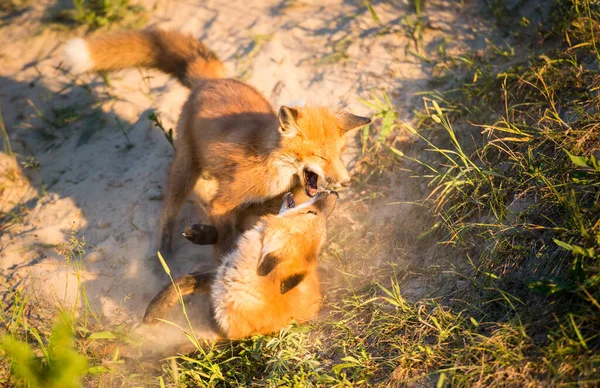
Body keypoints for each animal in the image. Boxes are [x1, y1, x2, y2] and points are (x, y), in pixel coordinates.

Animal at [64, 28, 370, 260]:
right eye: (320, 155)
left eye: (340, 154)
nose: (346, 181)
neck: (275, 171)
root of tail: (212, 80)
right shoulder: (224, 201)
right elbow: (225, 239)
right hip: (185, 169)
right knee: (168, 211)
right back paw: (164, 253)